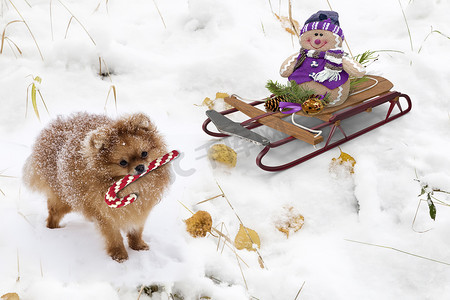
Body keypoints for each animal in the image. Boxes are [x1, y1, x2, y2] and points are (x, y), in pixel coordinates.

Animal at [24, 111, 172, 262]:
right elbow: (114, 236)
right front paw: (119, 255)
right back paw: (52, 230)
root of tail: (50, 130)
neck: (134, 186)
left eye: (144, 153)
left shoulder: (140, 209)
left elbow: (136, 230)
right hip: (64, 200)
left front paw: (138, 246)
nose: (140, 167)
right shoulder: (105, 215)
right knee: (53, 214)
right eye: (123, 162)